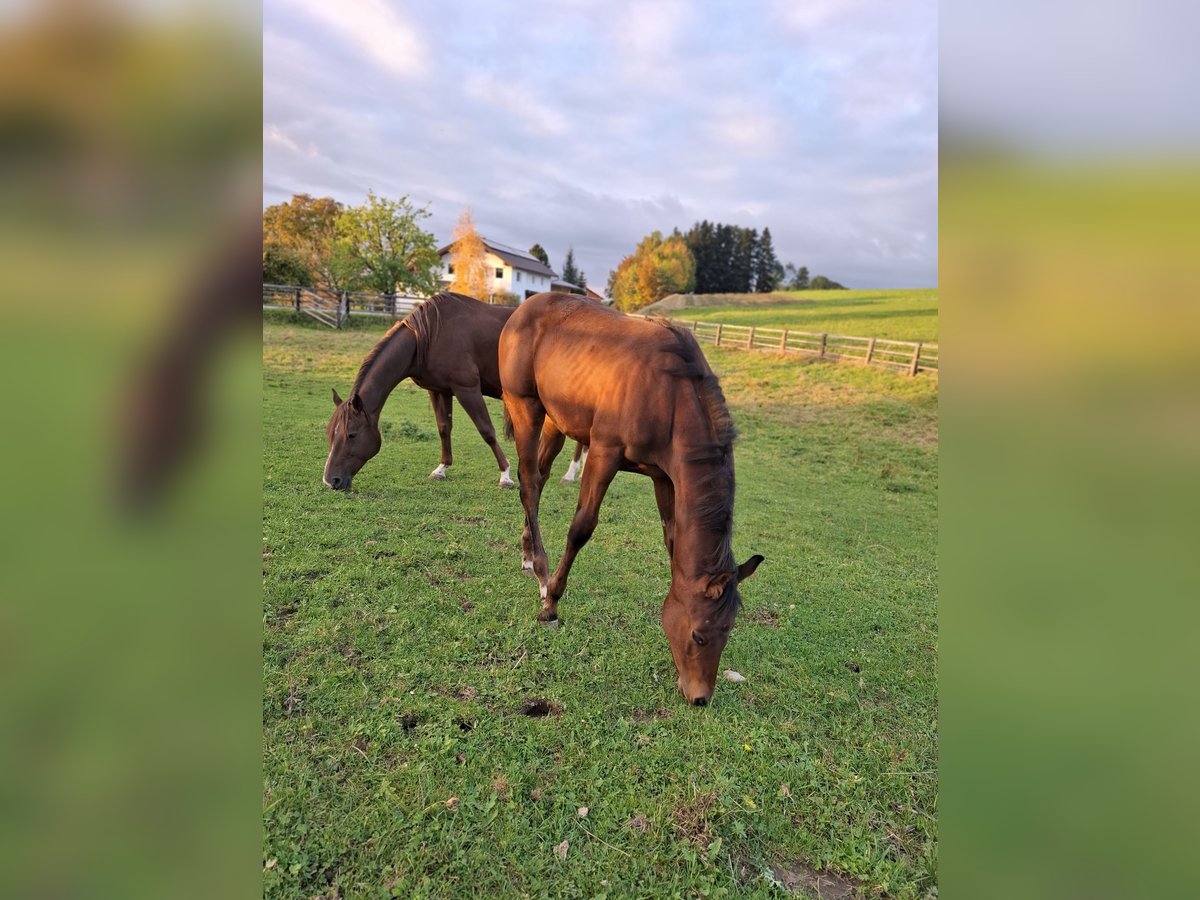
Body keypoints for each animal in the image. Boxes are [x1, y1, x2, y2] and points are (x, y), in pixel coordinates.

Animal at [323, 292, 585, 491]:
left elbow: (487, 431)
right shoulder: (439, 390)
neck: (430, 335)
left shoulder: (467, 389)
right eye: (330, 434)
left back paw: (571, 474)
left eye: (351, 435)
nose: (330, 480)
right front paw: (442, 468)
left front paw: (505, 475)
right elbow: (444, 428)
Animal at [499, 292, 763, 706]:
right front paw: (551, 604)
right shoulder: (604, 453)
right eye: (699, 635)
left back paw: (528, 554)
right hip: (526, 407)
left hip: (556, 421)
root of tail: (524, 308)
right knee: (528, 483)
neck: (669, 396)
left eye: (728, 632)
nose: (700, 698)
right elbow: (581, 528)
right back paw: (541, 570)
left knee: (537, 481)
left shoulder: (663, 477)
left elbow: (672, 541)